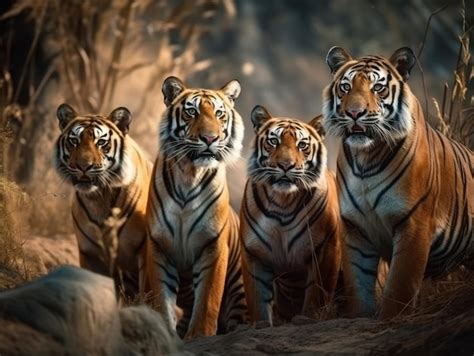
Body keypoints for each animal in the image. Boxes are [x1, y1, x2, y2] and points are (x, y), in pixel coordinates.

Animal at [54, 103, 153, 300]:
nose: (83, 166)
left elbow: (149, 293)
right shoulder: (90, 254)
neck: (99, 197)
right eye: (74, 141)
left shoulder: (144, 250)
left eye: (101, 142)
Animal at [145, 76, 246, 338]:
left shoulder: (213, 244)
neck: (190, 175)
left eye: (219, 114)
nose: (210, 139)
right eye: (192, 112)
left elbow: (208, 298)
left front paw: (199, 334)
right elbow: (161, 300)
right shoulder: (159, 246)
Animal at [241, 105, 340, 326]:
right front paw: (260, 324)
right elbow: (257, 298)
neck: (282, 202)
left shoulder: (324, 248)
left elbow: (316, 292)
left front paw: (308, 318)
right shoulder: (254, 253)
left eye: (302, 145)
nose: (286, 165)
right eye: (273, 141)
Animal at [322, 45, 474, 320]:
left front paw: (390, 319)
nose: (354, 113)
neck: (365, 158)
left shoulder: (413, 224)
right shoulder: (355, 228)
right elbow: (357, 286)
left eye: (377, 88)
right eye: (346, 87)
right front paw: (360, 315)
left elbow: (399, 288)